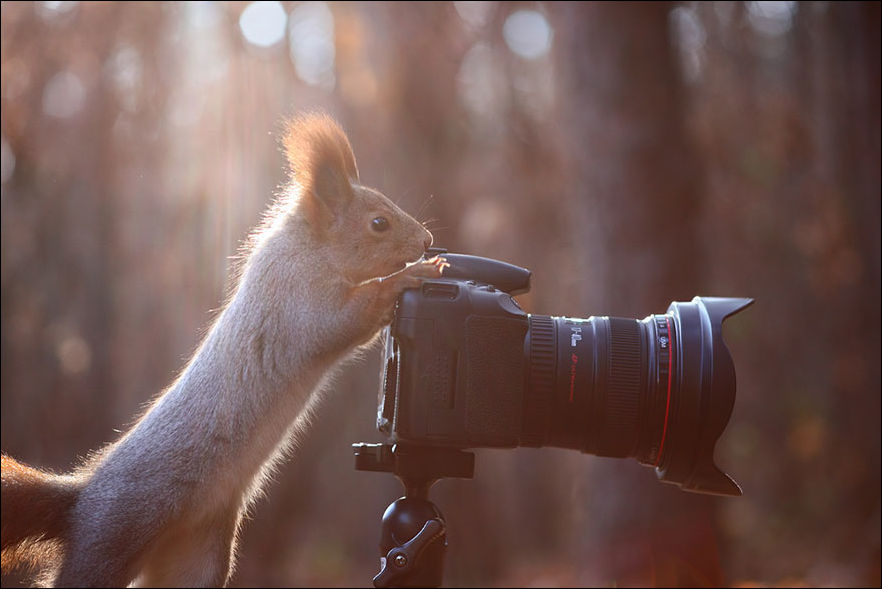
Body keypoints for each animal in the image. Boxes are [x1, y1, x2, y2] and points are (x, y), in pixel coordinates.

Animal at [0, 112, 446, 587]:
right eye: (379, 223)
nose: (426, 240)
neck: (308, 249)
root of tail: (82, 501)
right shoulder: (300, 305)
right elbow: (350, 316)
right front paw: (413, 275)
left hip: (197, 557)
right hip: (112, 539)